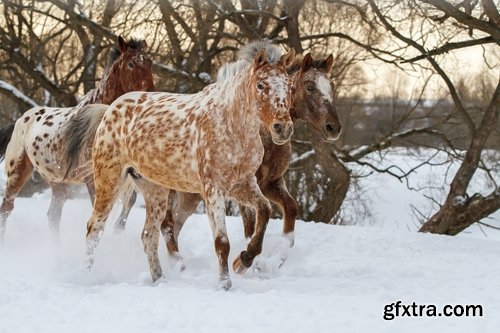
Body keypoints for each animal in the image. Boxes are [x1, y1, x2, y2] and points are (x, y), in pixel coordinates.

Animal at [0, 36, 154, 237]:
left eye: (150, 62)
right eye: (131, 63)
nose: (151, 93)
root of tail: (21, 120)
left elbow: (127, 207)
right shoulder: (93, 179)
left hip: (58, 182)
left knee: (53, 215)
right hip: (18, 171)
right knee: (7, 208)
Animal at [72, 42, 294, 290]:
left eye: (289, 86)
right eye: (261, 85)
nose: (282, 128)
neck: (230, 125)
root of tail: (110, 109)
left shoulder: (242, 184)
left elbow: (264, 211)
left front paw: (243, 260)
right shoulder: (213, 190)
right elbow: (222, 243)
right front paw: (225, 284)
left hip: (155, 190)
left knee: (149, 235)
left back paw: (159, 279)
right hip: (109, 182)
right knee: (94, 230)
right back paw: (86, 276)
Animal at [156, 50, 342, 262]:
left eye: (331, 87)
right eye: (310, 86)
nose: (333, 127)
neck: (264, 136)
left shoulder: (271, 182)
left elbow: (291, 207)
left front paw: (281, 251)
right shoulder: (245, 187)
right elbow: (251, 226)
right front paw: (248, 258)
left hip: (190, 195)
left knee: (174, 225)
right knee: (167, 224)